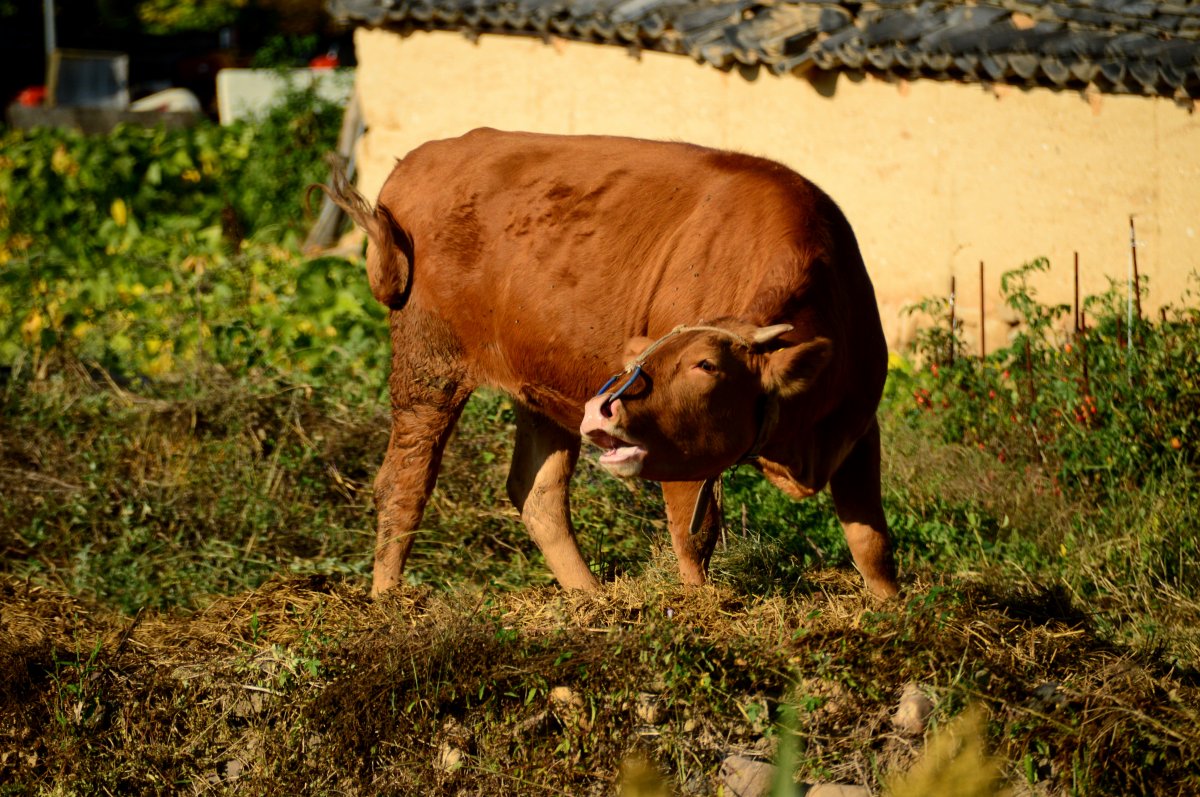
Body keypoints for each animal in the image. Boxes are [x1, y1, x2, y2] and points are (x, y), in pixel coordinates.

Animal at [319, 129, 902, 597]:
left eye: (706, 365)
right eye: (644, 356)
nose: (604, 407)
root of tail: (424, 157)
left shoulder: (858, 428)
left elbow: (871, 541)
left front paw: (890, 610)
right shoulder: (678, 452)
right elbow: (693, 537)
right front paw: (701, 609)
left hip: (541, 384)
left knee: (537, 493)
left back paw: (592, 600)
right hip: (429, 363)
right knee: (405, 481)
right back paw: (387, 600)